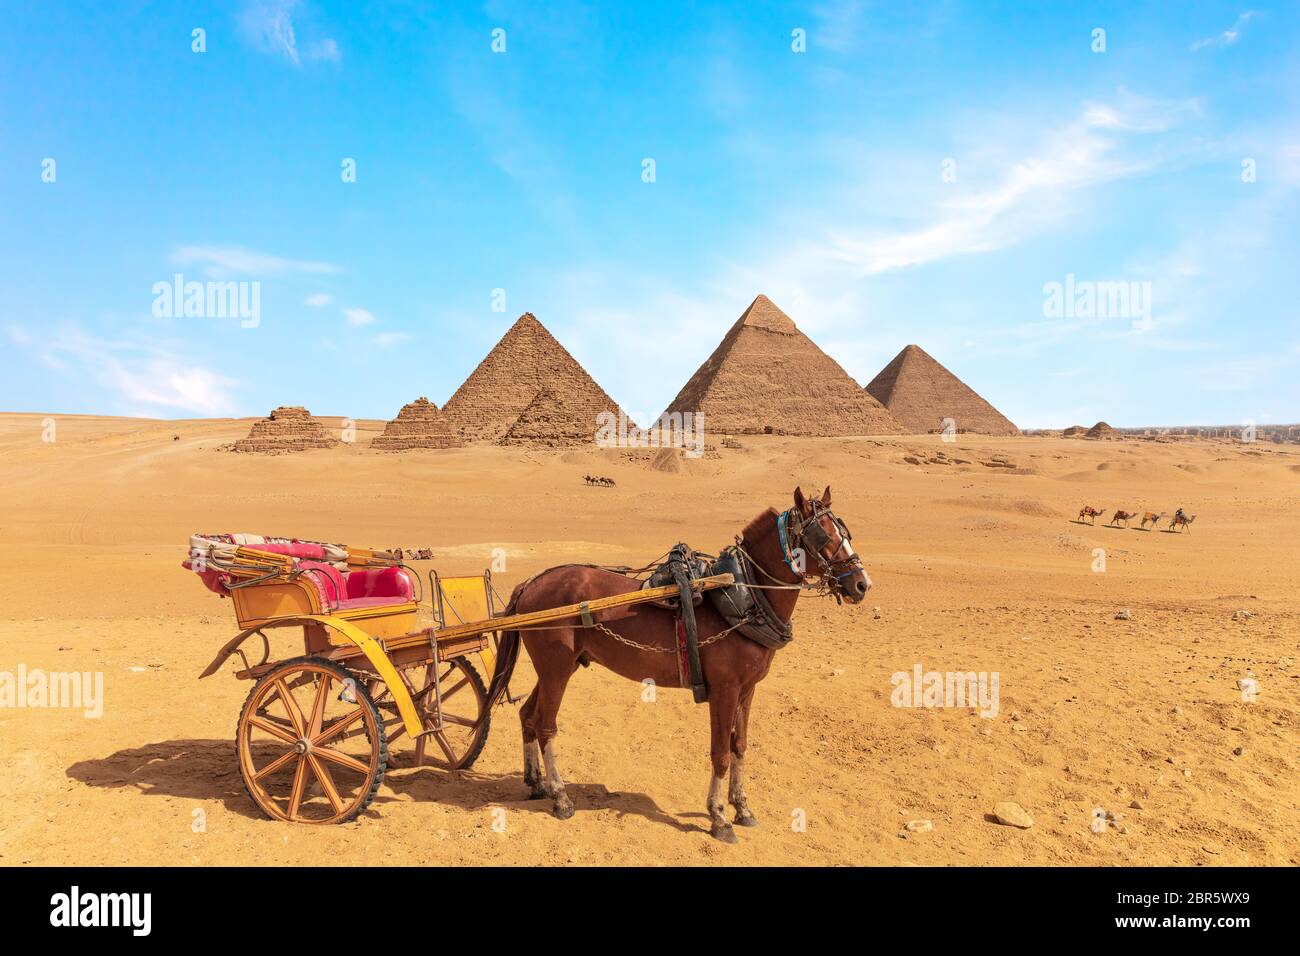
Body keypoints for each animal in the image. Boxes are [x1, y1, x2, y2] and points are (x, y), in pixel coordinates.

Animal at [483, 486, 869, 844]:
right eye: (822, 535)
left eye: (846, 532)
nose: (862, 584)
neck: (745, 596)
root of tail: (530, 582)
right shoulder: (724, 690)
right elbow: (720, 753)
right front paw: (719, 817)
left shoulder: (747, 690)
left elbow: (740, 746)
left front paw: (742, 808)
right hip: (557, 669)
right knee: (545, 725)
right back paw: (561, 797)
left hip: (556, 668)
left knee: (528, 715)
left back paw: (536, 784)